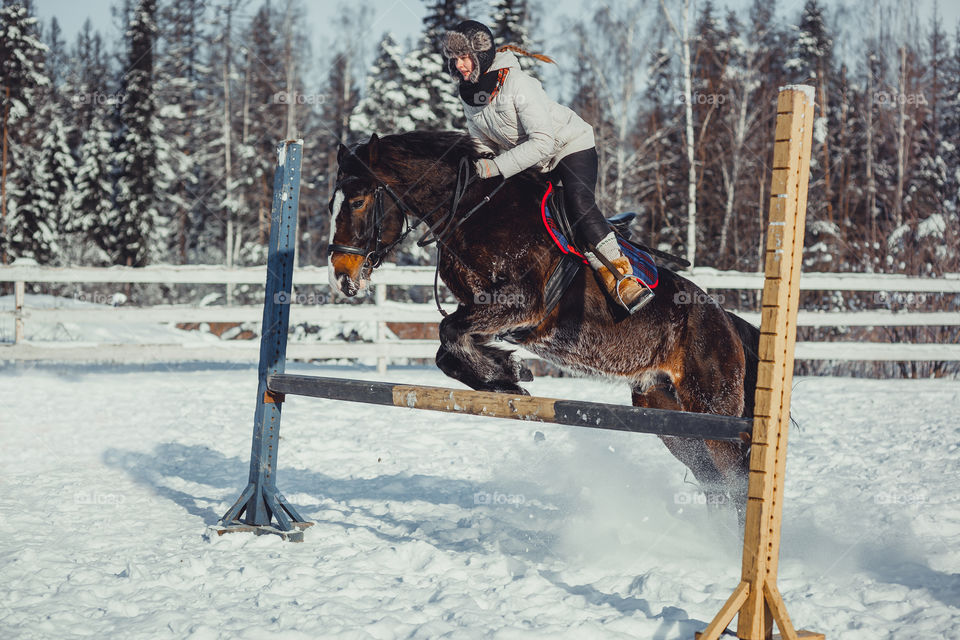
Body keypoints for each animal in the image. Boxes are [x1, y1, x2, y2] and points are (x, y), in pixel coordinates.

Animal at [326, 130, 760, 520]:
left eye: (359, 201)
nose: (341, 278)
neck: (471, 211)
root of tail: (726, 321)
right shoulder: (481, 308)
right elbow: (446, 349)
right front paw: (507, 374)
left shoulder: (523, 301)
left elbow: (448, 332)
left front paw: (508, 372)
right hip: (666, 413)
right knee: (712, 481)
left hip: (712, 405)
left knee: (736, 481)